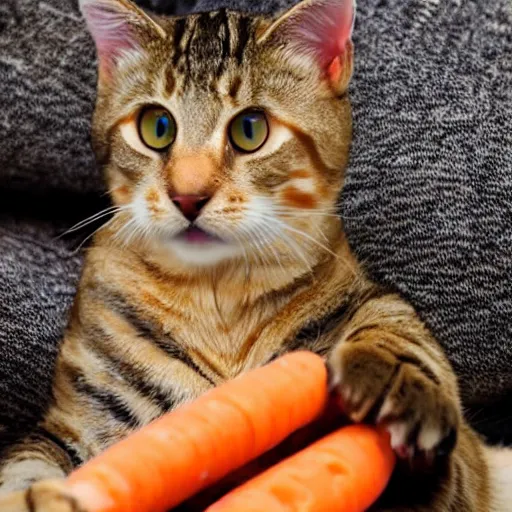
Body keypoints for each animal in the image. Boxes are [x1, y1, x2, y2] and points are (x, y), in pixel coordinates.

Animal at [0, 0, 510, 510]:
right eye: (157, 127)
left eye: (250, 129)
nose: (188, 197)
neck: (217, 298)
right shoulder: (70, 426)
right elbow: (26, 464)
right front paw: (34, 498)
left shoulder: (457, 468)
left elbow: (390, 317)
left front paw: (397, 371)